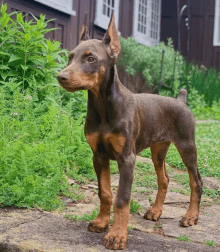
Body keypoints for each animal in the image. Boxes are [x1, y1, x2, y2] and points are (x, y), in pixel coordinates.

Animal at [57, 13, 203, 250]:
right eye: (70, 57)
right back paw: (155, 211)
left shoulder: (127, 158)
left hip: (187, 146)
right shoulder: (98, 155)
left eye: (91, 59)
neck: (103, 107)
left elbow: (122, 198)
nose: (61, 76)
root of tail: (181, 100)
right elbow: (105, 193)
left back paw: (191, 216)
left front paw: (117, 235)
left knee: (195, 181)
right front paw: (101, 222)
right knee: (164, 179)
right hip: (158, 149)